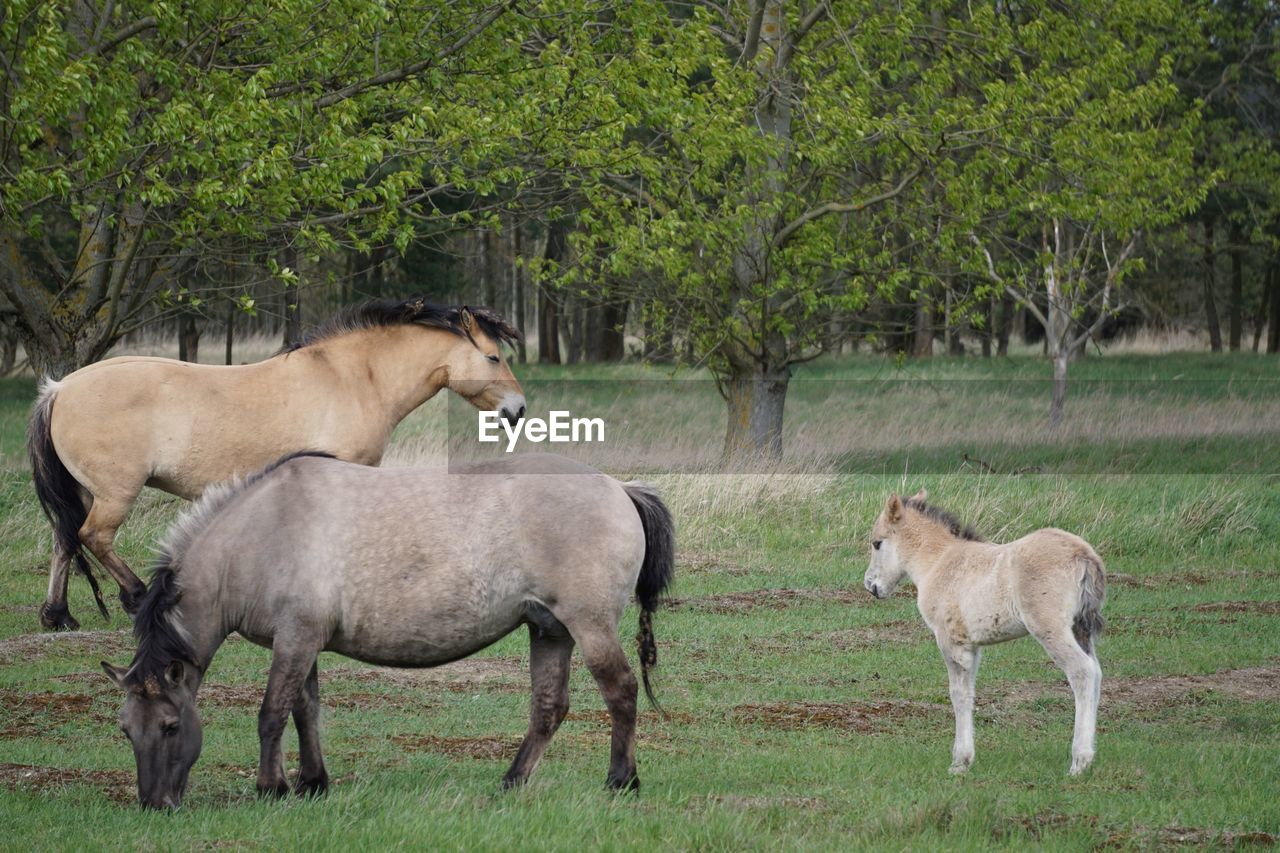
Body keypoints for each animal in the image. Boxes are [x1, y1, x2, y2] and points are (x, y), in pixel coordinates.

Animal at [98, 450, 675, 804]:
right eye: (125, 729)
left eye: (171, 726)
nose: (155, 803)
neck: (262, 534)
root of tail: (619, 488)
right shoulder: (303, 642)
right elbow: (306, 712)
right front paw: (313, 782)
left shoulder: (295, 640)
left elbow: (272, 715)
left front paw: (271, 787)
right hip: (550, 631)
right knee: (549, 709)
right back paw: (511, 782)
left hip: (589, 626)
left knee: (621, 692)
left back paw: (621, 781)